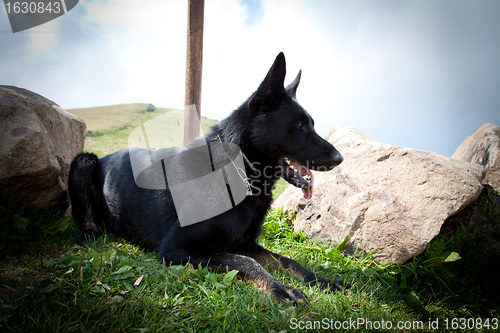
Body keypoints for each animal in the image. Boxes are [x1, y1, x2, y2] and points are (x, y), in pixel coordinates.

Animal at [68, 51, 346, 300]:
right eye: (299, 125)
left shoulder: (243, 242)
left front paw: (320, 280)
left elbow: (287, 261)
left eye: (311, 123)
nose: (339, 159)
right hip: (83, 161)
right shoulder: (176, 249)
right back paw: (89, 235)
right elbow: (246, 262)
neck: (236, 171)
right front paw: (281, 288)